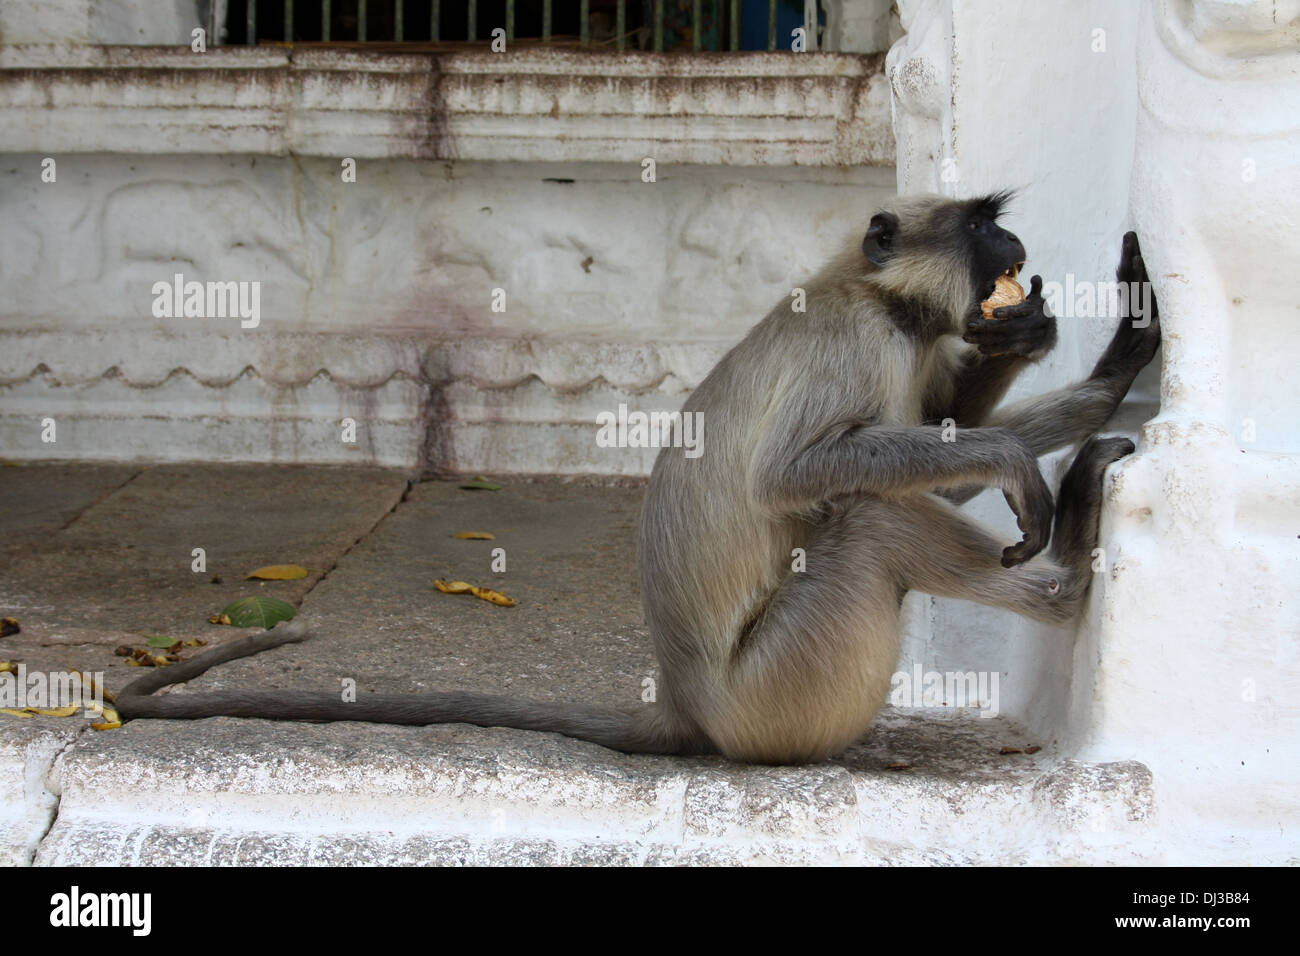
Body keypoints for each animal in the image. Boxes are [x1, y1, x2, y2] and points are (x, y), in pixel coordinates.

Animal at [119, 196, 1159, 770]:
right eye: (981, 225)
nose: (1011, 241)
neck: (877, 301)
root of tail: (692, 708)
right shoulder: (853, 342)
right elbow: (803, 474)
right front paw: (1024, 455)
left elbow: (939, 454)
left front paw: (1105, 362)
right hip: (788, 690)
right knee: (871, 525)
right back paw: (1070, 573)